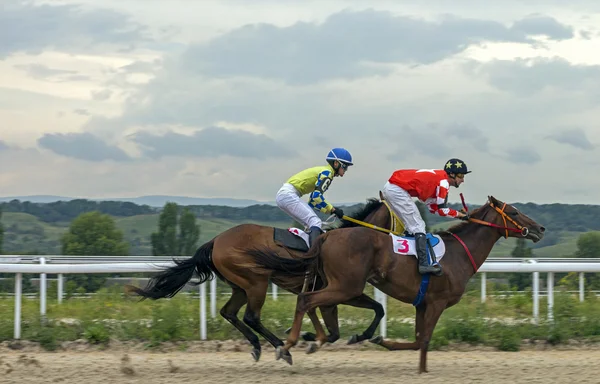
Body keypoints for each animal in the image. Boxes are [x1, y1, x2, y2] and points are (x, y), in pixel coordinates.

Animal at [124, 198, 400, 364]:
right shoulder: (338, 291)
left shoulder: (338, 293)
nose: (404, 236)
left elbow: (361, 316)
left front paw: (312, 336)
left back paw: (258, 345)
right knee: (251, 316)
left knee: (229, 312)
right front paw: (307, 337)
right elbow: (354, 318)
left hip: (240, 286)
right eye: (399, 215)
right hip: (256, 281)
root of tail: (215, 241)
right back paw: (279, 347)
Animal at [241, 195, 548, 372]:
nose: (540, 228)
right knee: (306, 300)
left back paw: (308, 340)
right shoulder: (437, 303)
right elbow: (423, 339)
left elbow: (418, 340)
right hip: (346, 286)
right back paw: (288, 345)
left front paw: (411, 362)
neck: (458, 253)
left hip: (339, 286)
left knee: (314, 304)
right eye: (515, 212)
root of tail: (327, 236)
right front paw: (386, 343)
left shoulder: (422, 303)